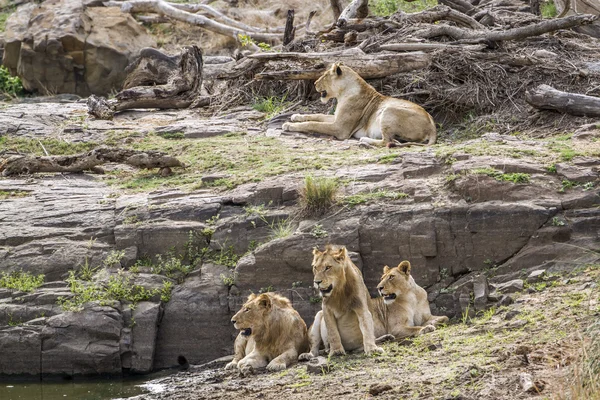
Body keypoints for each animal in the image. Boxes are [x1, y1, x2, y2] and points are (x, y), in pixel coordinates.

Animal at [282, 63, 436, 148]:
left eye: (325, 75)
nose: (314, 83)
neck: (342, 94)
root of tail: (433, 126)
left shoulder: (340, 128)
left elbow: (313, 124)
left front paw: (289, 125)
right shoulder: (336, 118)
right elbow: (316, 115)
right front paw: (296, 116)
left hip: (388, 110)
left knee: (386, 141)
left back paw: (364, 139)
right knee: (394, 141)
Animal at [302, 260, 448, 360]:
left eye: (391, 277)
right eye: (382, 278)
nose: (379, 287)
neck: (411, 296)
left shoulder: (426, 316)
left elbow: (444, 318)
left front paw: (433, 323)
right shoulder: (396, 327)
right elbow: (415, 328)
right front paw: (426, 328)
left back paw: (386, 338)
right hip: (320, 315)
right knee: (315, 346)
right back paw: (307, 355)